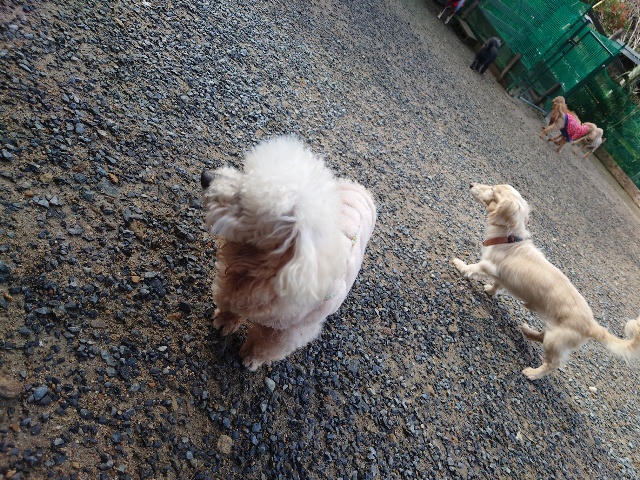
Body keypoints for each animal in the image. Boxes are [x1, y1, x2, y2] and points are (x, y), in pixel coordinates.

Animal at [201, 136, 376, 371]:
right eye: (245, 172)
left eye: (244, 203)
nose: (205, 177)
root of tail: (361, 188)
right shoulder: (235, 282)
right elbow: (230, 303)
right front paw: (224, 322)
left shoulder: (289, 332)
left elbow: (266, 344)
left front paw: (252, 357)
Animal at [452, 183, 640, 380]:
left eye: (493, 191)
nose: (471, 184)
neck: (509, 239)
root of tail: (592, 325)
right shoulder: (502, 276)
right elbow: (497, 285)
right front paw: (489, 290)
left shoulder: (488, 265)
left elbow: (473, 268)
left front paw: (460, 265)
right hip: (553, 334)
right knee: (541, 337)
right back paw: (527, 331)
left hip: (555, 340)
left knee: (552, 363)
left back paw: (533, 373)